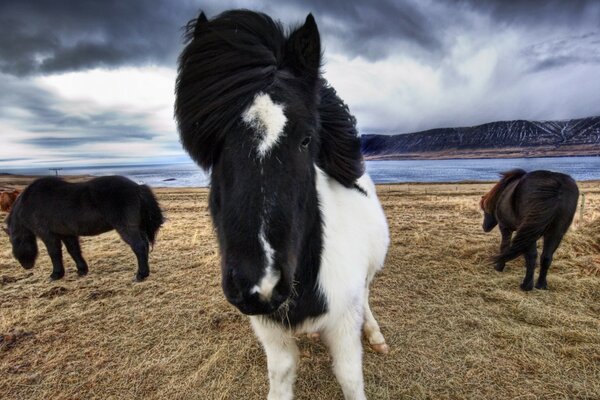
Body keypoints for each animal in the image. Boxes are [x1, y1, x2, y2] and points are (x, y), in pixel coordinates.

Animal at [2, 177, 164, 282]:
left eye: (14, 240)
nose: (26, 265)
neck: (29, 203)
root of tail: (137, 187)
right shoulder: (66, 234)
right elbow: (74, 251)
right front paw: (81, 270)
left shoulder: (48, 235)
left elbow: (54, 253)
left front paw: (56, 274)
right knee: (144, 245)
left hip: (127, 228)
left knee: (139, 246)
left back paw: (141, 275)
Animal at [175, 9, 390, 400]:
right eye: (214, 146)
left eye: (306, 140)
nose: (259, 286)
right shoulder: (269, 330)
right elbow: (282, 373)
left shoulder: (343, 324)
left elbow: (350, 376)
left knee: (367, 296)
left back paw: (375, 333)